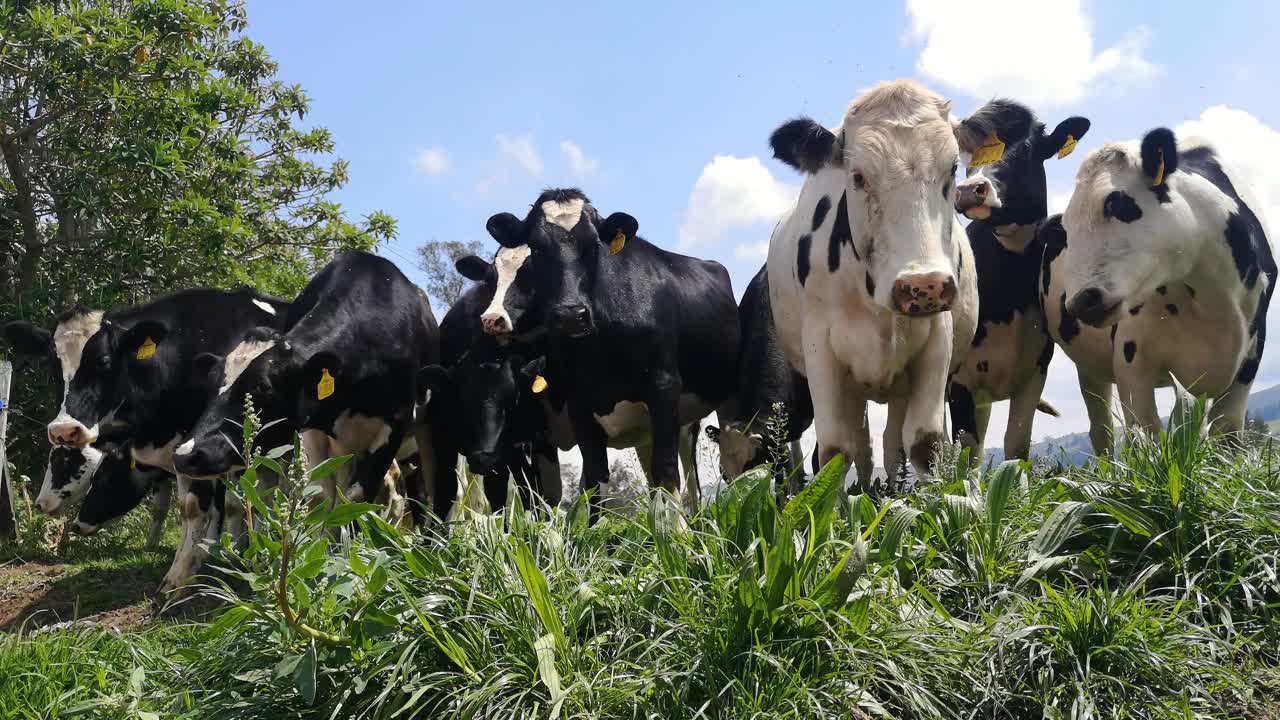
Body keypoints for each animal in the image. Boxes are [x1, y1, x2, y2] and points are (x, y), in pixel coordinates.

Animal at [172, 251, 440, 540]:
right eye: (212, 382)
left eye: (264, 386)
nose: (185, 454)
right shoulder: (312, 426)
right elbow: (321, 497)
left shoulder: (394, 426)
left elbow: (357, 500)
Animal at [482, 189, 739, 516]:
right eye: (537, 247)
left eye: (594, 245)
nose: (570, 314)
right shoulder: (578, 405)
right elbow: (594, 486)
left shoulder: (664, 387)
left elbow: (667, 472)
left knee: (694, 479)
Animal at [765, 80, 1042, 489]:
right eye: (858, 176)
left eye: (953, 168)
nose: (922, 285)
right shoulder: (820, 351)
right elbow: (834, 452)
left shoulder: (937, 341)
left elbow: (925, 444)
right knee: (861, 450)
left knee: (892, 445)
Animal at [947, 104, 1090, 459]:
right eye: (967, 160)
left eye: (1026, 150)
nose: (969, 190)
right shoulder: (958, 380)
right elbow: (965, 451)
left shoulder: (1034, 373)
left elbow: (1016, 445)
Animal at [1043, 128, 1276, 449]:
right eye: (1066, 231)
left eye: (1117, 204)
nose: (1080, 302)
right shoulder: (1131, 358)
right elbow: (1145, 435)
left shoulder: (1251, 354)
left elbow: (1225, 435)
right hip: (1090, 368)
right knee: (1101, 431)